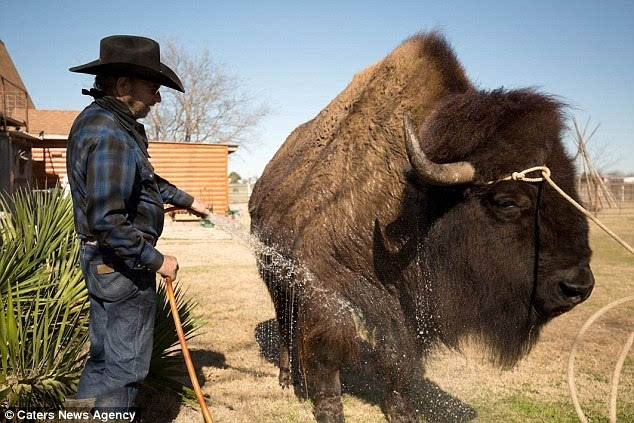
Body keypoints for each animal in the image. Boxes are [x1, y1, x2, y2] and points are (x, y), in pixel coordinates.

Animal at [247, 31, 592, 422]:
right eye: (506, 202)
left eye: (573, 185)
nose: (578, 287)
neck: (415, 200)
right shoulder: (325, 282)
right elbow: (331, 347)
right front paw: (330, 409)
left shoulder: (409, 306)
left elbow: (400, 358)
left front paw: (402, 410)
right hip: (272, 272)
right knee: (284, 322)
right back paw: (286, 377)